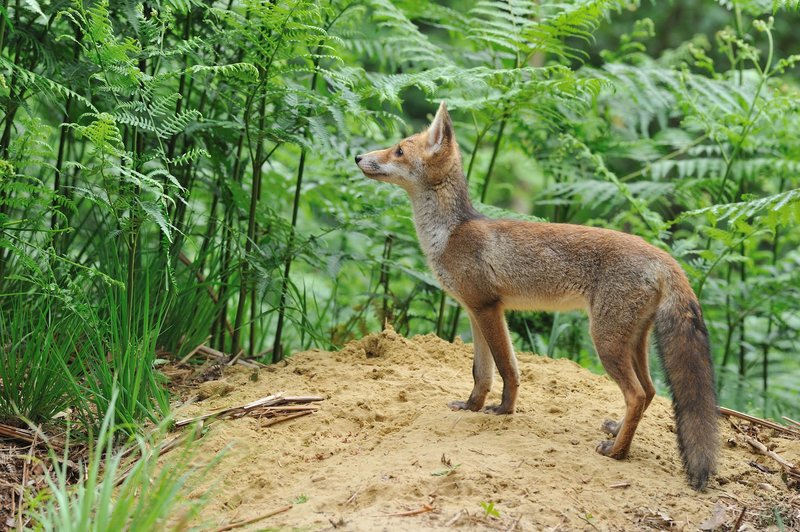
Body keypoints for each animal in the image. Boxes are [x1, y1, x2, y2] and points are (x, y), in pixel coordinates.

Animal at [356, 101, 720, 490]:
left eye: (398, 150)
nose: (358, 156)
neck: (450, 233)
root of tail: (664, 257)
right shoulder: (474, 310)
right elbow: (481, 372)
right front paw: (472, 407)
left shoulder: (489, 308)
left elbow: (507, 368)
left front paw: (504, 410)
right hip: (632, 341)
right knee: (650, 391)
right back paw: (617, 431)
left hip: (604, 340)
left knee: (636, 394)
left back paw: (617, 452)